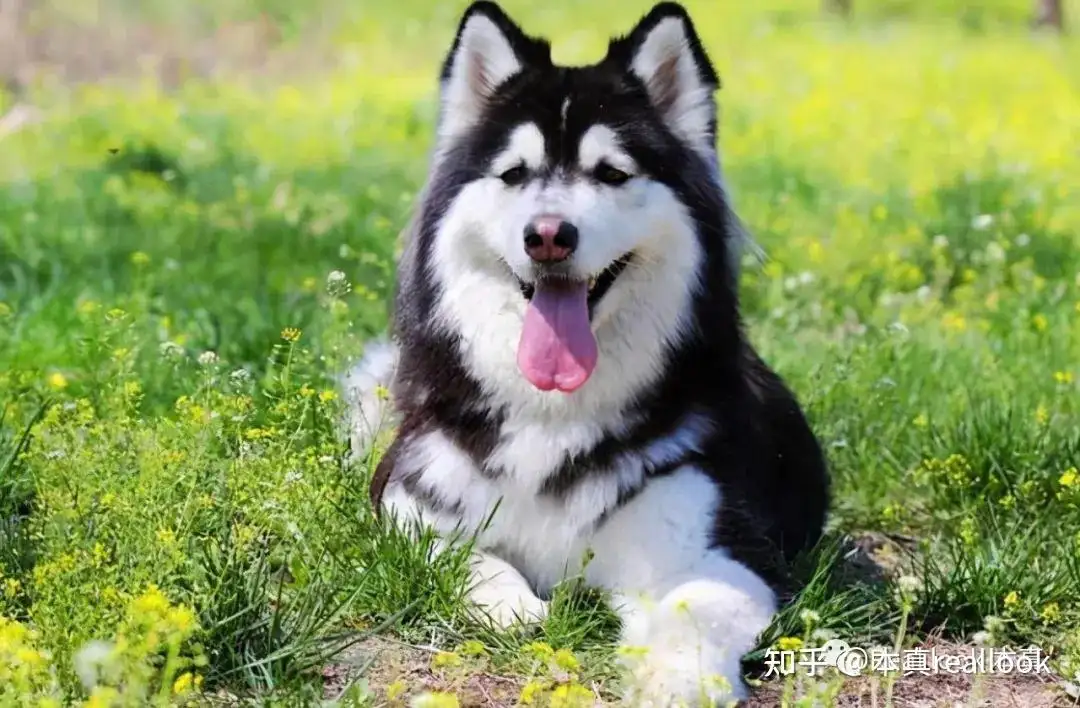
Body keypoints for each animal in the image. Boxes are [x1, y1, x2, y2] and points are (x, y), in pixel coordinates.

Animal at [345, 4, 825, 703]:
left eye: (612, 174)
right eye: (514, 174)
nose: (547, 235)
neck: (553, 413)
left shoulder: (721, 549)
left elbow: (693, 612)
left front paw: (676, 682)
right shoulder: (408, 493)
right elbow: (454, 550)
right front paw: (509, 600)